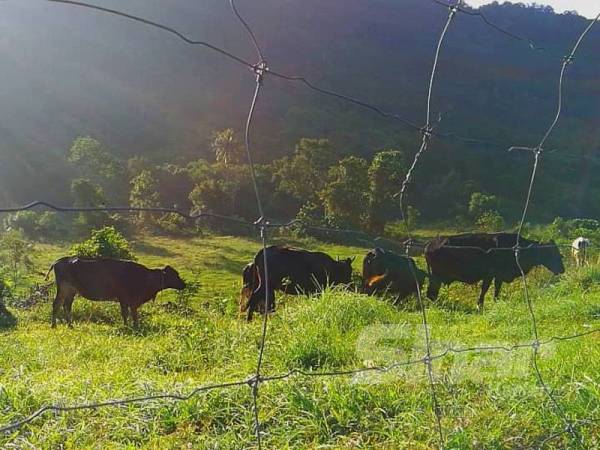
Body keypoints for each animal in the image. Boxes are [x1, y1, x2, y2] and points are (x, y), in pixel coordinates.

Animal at [46, 257, 186, 327]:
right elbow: (128, 314)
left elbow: (130, 314)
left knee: (66, 305)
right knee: (57, 304)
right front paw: (131, 327)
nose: (184, 284)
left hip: (71, 291)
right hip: (64, 289)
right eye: (174, 275)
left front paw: (131, 326)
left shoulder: (129, 301)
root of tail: (60, 261)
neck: (145, 277)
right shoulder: (126, 299)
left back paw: (70, 325)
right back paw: (54, 325)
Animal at [425, 233, 564, 311]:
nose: (562, 269)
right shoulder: (491, 275)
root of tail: (430, 244)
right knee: (431, 294)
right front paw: (480, 305)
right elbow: (485, 290)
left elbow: (496, 290)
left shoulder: (498, 276)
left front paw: (495, 302)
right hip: (436, 277)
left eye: (558, 253)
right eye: (550, 252)